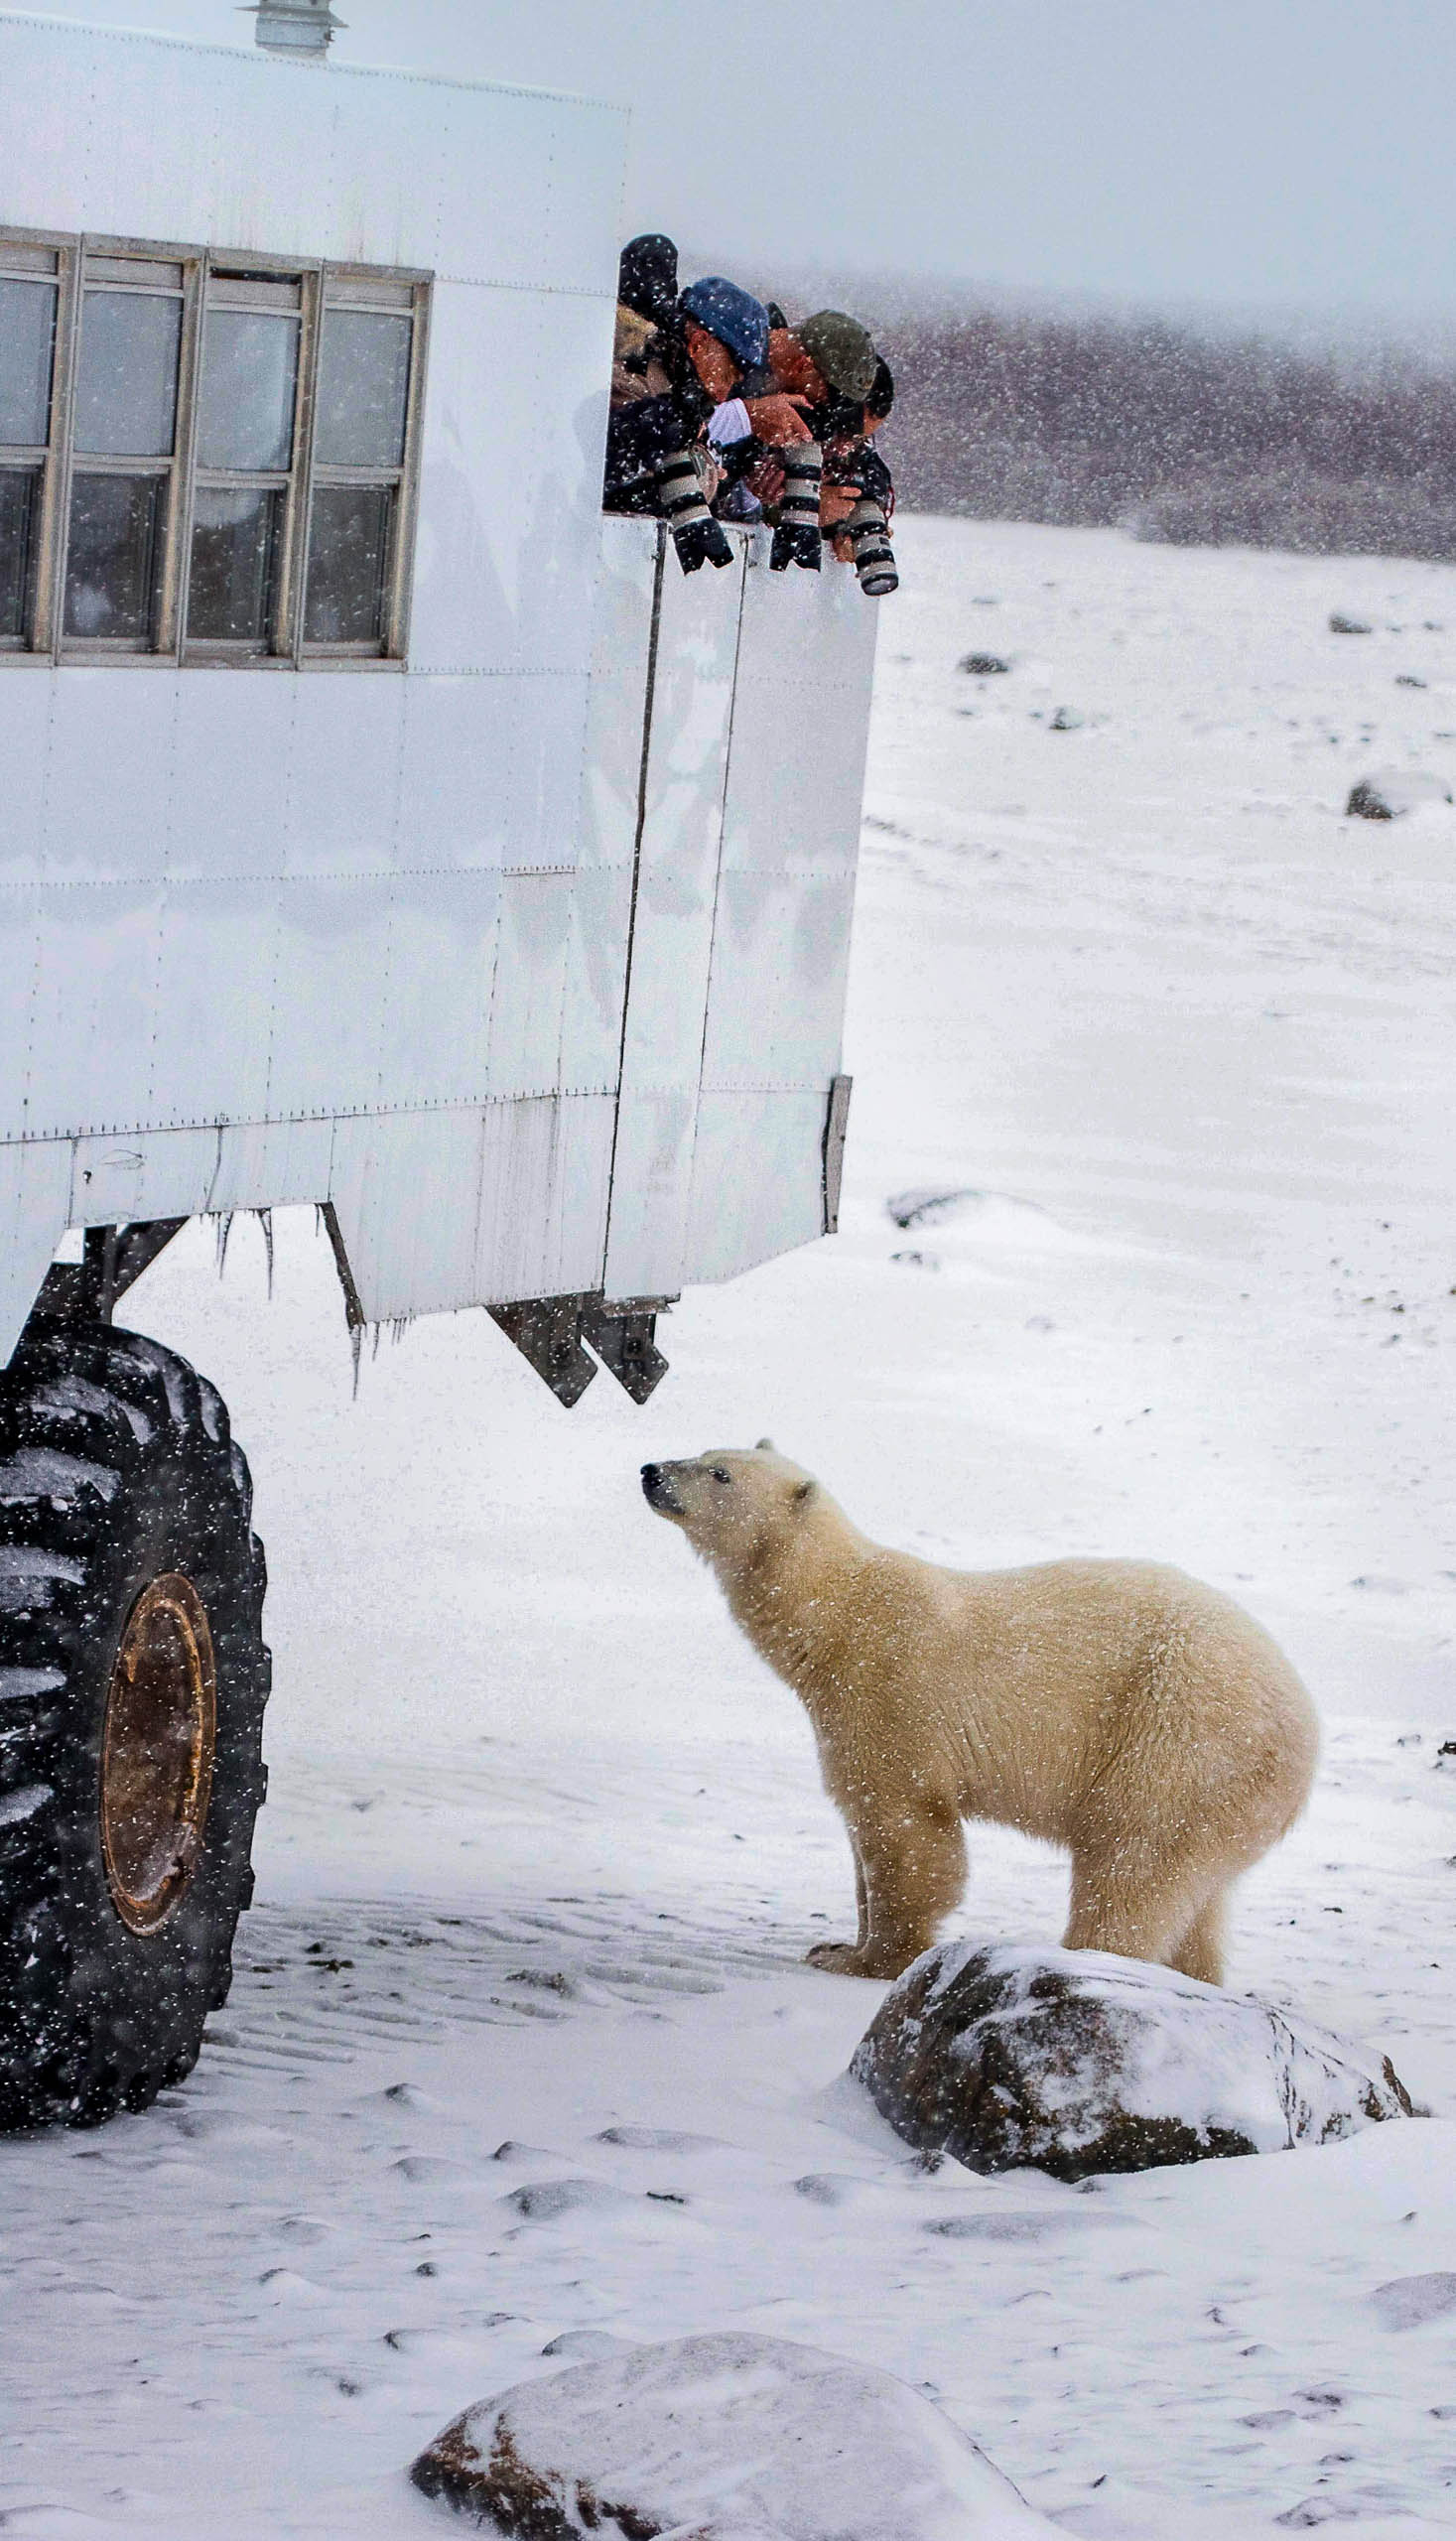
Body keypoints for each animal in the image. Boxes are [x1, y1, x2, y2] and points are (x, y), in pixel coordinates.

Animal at [637, 1453, 1321, 1981]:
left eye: (719, 1472)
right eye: (705, 1450)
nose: (651, 1471)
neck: (834, 1617)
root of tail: (1305, 1729)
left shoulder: (888, 1693)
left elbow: (906, 1831)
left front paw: (866, 1960)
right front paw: (837, 1942)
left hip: (1178, 1735)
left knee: (1132, 1862)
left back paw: (1083, 1956)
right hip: (1222, 1796)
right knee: (1197, 1900)